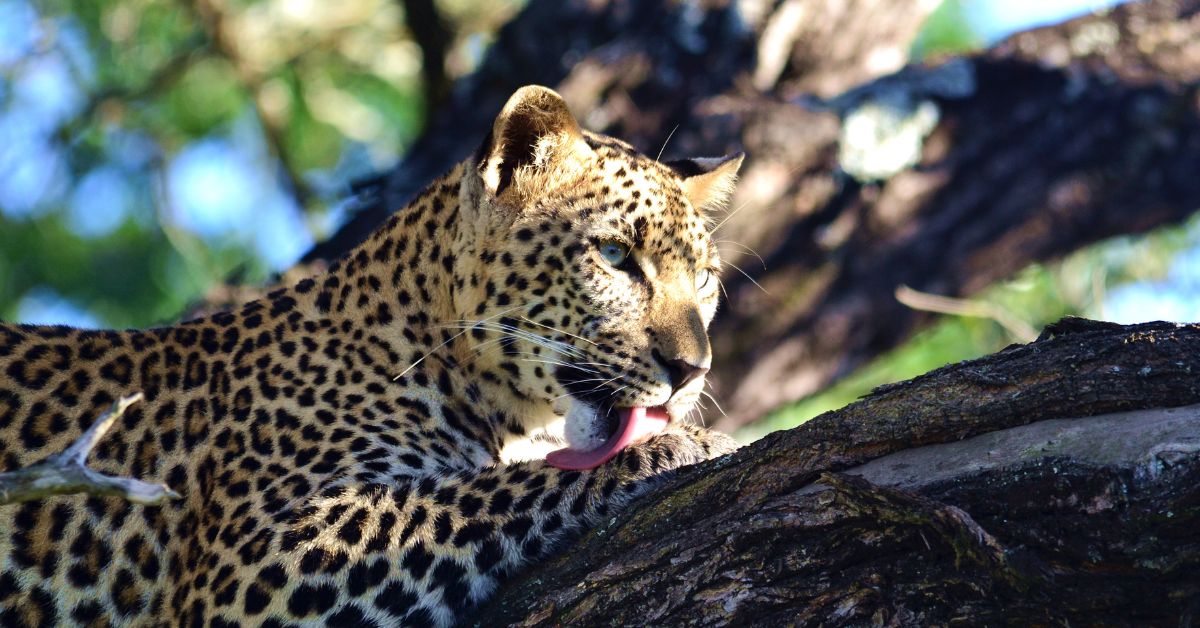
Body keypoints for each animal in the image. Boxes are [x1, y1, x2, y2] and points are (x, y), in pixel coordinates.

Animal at [0, 85, 743, 627]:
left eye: (705, 279)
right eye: (615, 256)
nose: (693, 373)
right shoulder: (261, 553)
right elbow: (485, 491)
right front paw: (677, 449)